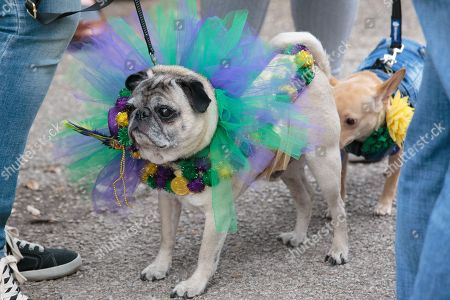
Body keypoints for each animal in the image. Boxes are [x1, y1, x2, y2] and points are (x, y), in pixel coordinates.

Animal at [126, 31, 348, 298]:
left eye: (165, 111)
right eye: (129, 108)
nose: (140, 115)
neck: (183, 162)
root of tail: (315, 69)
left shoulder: (217, 214)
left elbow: (205, 254)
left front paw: (194, 284)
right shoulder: (168, 202)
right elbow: (167, 239)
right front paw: (160, 267)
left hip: (325, 164)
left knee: (338, 208)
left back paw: (338, 250)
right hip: (289, 168)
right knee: (306, 198)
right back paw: (297, 236)